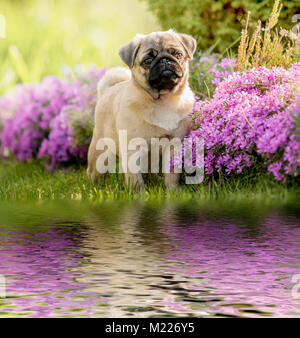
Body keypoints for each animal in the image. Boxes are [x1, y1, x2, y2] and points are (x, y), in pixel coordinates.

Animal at [86, 30, 197, 189]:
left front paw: (173, 189)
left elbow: (172, 173)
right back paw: (94, 185)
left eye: (177, 54)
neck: (163, 101)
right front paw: (138, 192)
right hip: (101, 151)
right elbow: (134, 177)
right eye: (148, 60)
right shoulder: (132, 148)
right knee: (94, 170)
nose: (164, 60)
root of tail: (107, 90)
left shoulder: (173, 144)